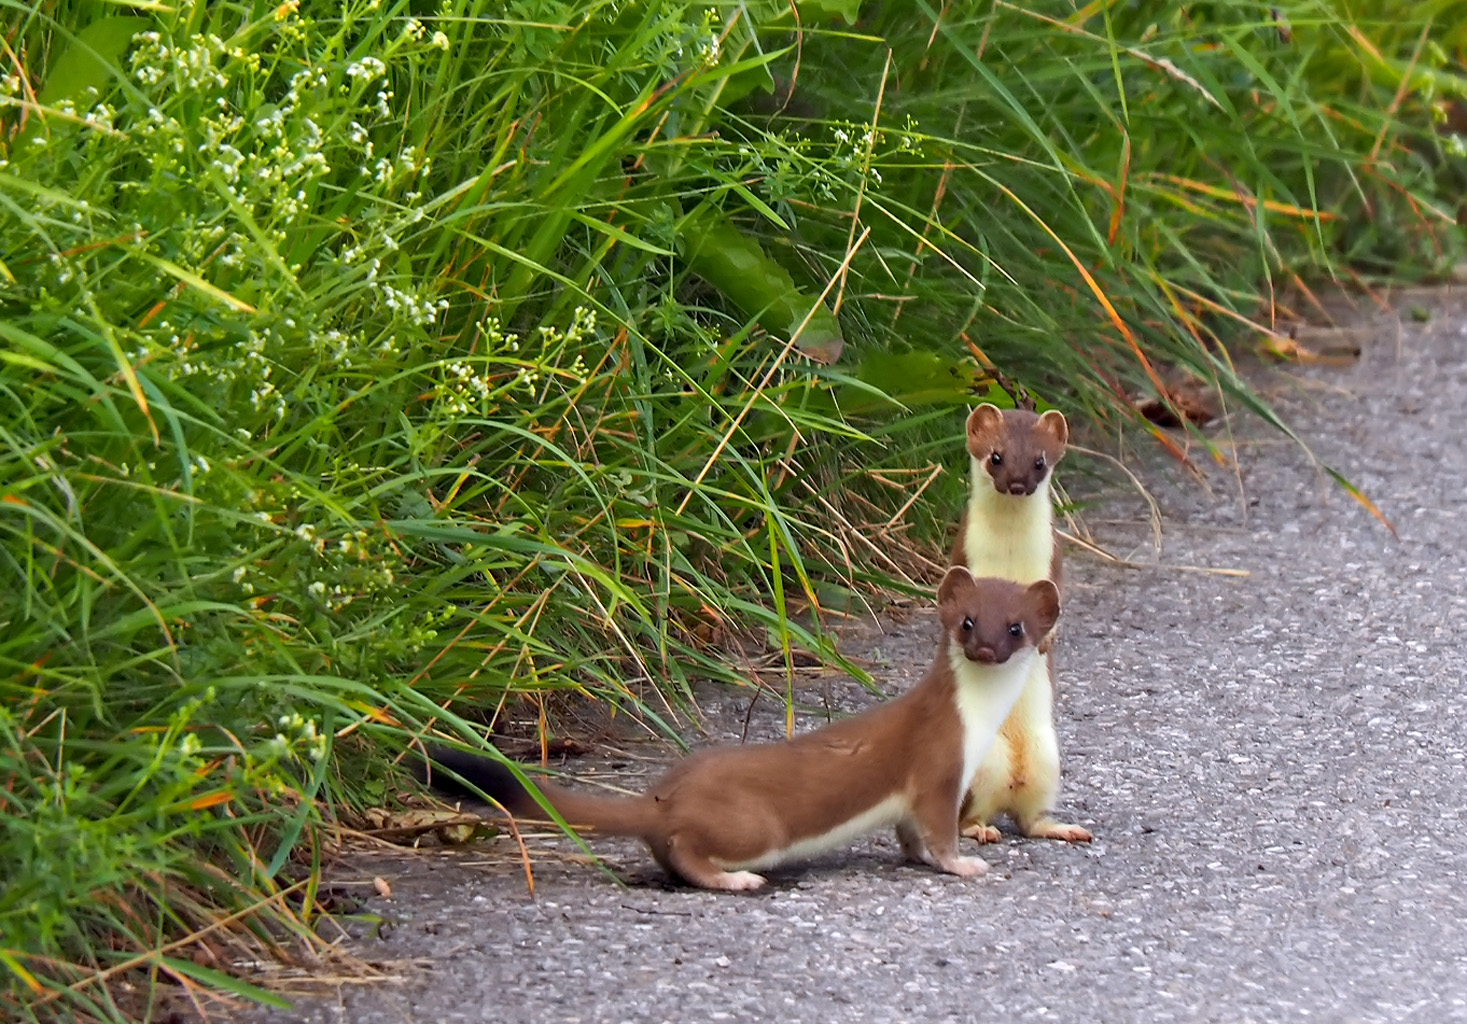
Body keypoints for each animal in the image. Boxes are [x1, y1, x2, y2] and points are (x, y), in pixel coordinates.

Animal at [428, 569, 1062, 891]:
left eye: (1015, 627)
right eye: (967, 621)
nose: (985, 648)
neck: (979, 721)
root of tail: (663, 797)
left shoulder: (921, 795)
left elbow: (912, 836)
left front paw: (923, 860)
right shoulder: (937, 767)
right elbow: (939, 830)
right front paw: (965, 863)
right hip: (756, 826)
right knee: (689, 850)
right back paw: (738, 881)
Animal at [950, 401, 1091, 839]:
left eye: (1039, 461)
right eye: (996, 456)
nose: (1015, 484)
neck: (1010, 547)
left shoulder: (1053, 558)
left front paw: (1046, 640)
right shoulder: (962, 555)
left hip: (1047, 759)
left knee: (1030, 818)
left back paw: (1063, 829)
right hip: (985, 761)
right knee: (970, 813)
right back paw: (980, 830)